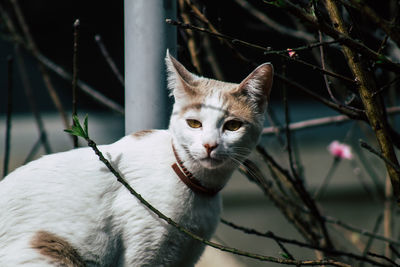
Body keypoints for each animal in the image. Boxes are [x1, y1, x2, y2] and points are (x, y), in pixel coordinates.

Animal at [0, 51, 272, 266]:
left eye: (233, 126)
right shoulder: (143, 253)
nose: (209, 145)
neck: (195, 184)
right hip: (51, 249)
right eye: (194, 123)